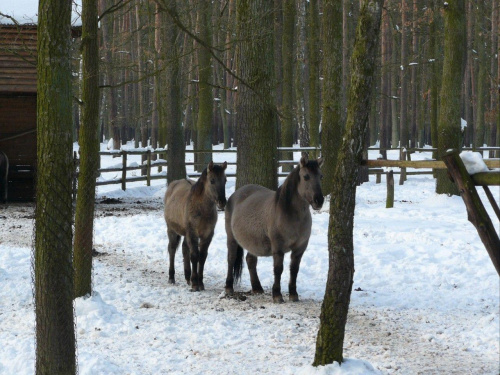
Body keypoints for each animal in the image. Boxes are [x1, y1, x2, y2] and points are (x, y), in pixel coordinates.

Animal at [164, 160, 227, 292]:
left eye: (225, 180)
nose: (222, 202)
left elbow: (202, 257)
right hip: (172, 230)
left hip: (185, 233)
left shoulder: (207, 234)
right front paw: (195, 284)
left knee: (184, 248)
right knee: (172, 249)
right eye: (212, 180)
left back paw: (187, 276)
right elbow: (194, 256)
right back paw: (172, 277)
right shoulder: (192, 233)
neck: (201, 208)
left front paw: (200, 283)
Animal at [224, 153, 324, 302]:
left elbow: (294, 270)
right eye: (306, 176)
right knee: (231, 259)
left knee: (250, 260)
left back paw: (257, 288)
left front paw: (293, 294)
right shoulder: (278, 248)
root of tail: (235, 194)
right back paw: (229, 287)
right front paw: (277, 295)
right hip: (231, 238)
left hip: (253, 241)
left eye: (321, 176)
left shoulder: (299, 249)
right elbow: (278, 269)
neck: (290, 214)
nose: (319, 200)